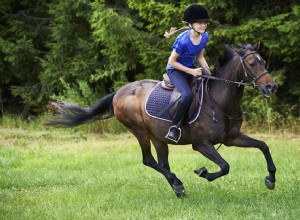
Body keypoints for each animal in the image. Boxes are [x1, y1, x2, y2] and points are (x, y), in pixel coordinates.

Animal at [47, 43, 278, 198]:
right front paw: (203, 172)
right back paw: (178, 183)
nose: (271, 87)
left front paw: (270, 180)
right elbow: (225, 166)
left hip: (158, 136)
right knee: (149, 160)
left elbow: (263, 146)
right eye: (252, 63)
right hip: (139, 131)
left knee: (162, 162)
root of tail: (119, 92)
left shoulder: (232, 138)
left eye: (263, 61)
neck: (220, 101)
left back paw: (177, 187)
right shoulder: (201, 144)